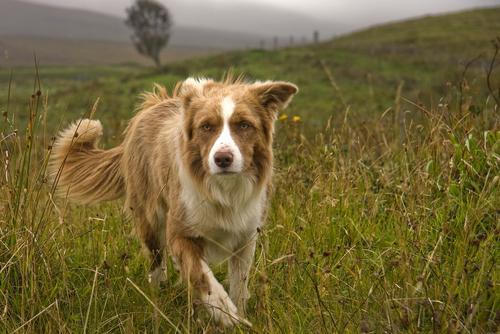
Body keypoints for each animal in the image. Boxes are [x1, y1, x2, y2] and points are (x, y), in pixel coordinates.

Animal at [47, 75, 296, 326]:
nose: (222, 159)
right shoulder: (179, 232)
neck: (222, 191)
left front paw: (240, 316)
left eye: (244, 125)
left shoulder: (246, 236)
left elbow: (239, 284)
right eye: (206, 126)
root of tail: (154, 104)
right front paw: (224, 312)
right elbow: (202, 275)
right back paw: (158, 297)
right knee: (156, 264)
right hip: (149, 218)